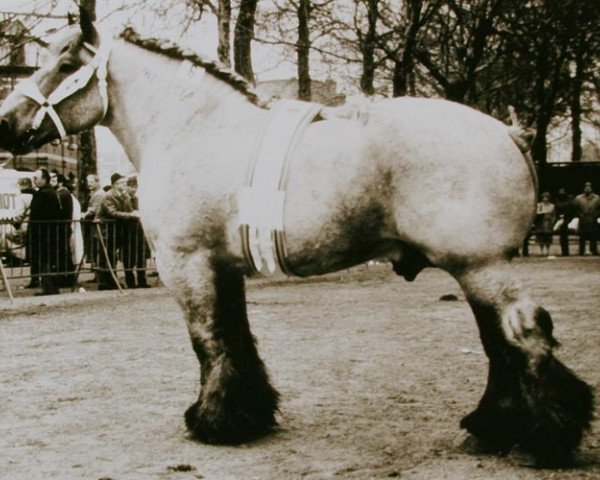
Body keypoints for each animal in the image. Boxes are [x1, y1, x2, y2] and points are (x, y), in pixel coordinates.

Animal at [0, 9, 592, 466]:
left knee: (523, 338)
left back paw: (544, 437)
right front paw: (249, 413)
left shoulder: (186, 264)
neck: (193, 129)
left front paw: (213, 422)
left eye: (67, 65)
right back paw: (491, 428)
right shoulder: (223, 266)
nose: (5, 125)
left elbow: (209, 341)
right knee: (499, 344)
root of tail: (509, 133)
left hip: (481, 265)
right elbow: (237, 338)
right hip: (476, 269)